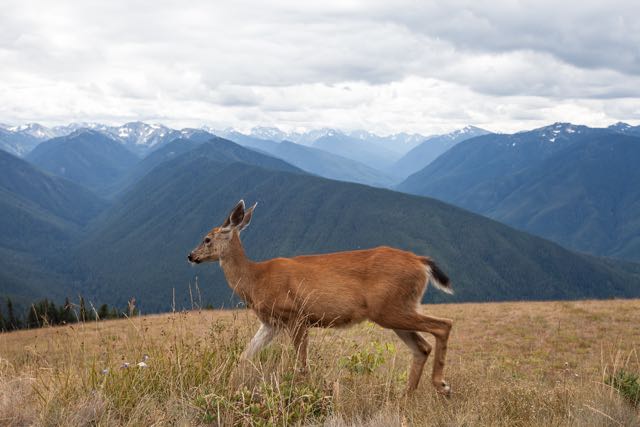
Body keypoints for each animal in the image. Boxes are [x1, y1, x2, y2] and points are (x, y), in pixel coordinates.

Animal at [188, 201, 452, 398]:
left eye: (207, 238)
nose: (191, 256)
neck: (256, 278)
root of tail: (421, 262)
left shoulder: (296, 315)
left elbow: (302, 365)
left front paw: (303, 392)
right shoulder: (271, 323)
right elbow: (244, 356)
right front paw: (225, 385)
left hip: (389, 308)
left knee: (443, 325)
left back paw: (441, 385)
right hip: (396, 310)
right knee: (422, 347)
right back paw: (406, 395)